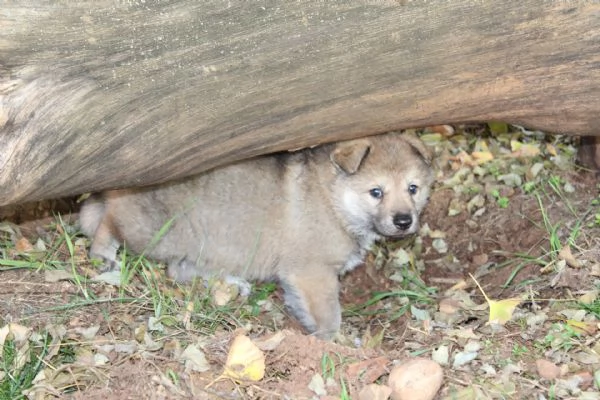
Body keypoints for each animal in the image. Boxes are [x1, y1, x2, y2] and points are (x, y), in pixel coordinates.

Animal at [82, 133, 434, 340]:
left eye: (413, 189)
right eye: (376, 192)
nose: (404, 221)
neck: (334, 199)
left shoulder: (300, 276)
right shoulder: (314, 273)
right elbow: (329, 312)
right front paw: (334, 341)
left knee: (179, 269)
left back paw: (232, 282)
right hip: (153, 231)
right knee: (108, 220)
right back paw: (103, 255)